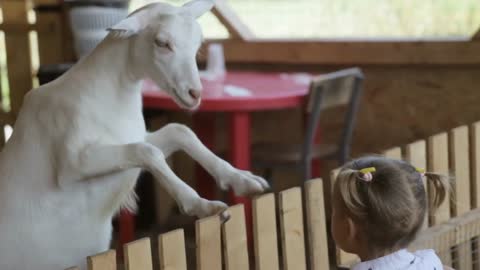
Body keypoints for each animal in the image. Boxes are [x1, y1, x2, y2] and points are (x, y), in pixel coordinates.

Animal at [0, 1, 268, 268]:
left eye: (197, 42)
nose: (194, 93)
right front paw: (203, 205)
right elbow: (147, 150)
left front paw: (244, 180)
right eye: (161, 42)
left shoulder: (129, 139)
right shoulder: (72, 164)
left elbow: (179, 131)